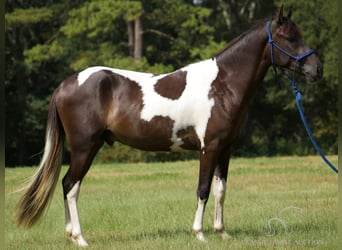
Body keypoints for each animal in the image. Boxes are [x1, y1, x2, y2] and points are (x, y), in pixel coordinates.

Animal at [16, 5, 324, 246]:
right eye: (290, 37)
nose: (317, 70)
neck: (222, 85)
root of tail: (65, 84)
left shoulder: (226, 149)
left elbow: (221, 190)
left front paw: (222, 232)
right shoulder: (209, 148)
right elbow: (203, 189)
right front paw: (199, 234)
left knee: (67, 185)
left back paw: (71, 235)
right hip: (84, 147)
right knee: (71, 186)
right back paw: (80, 238)